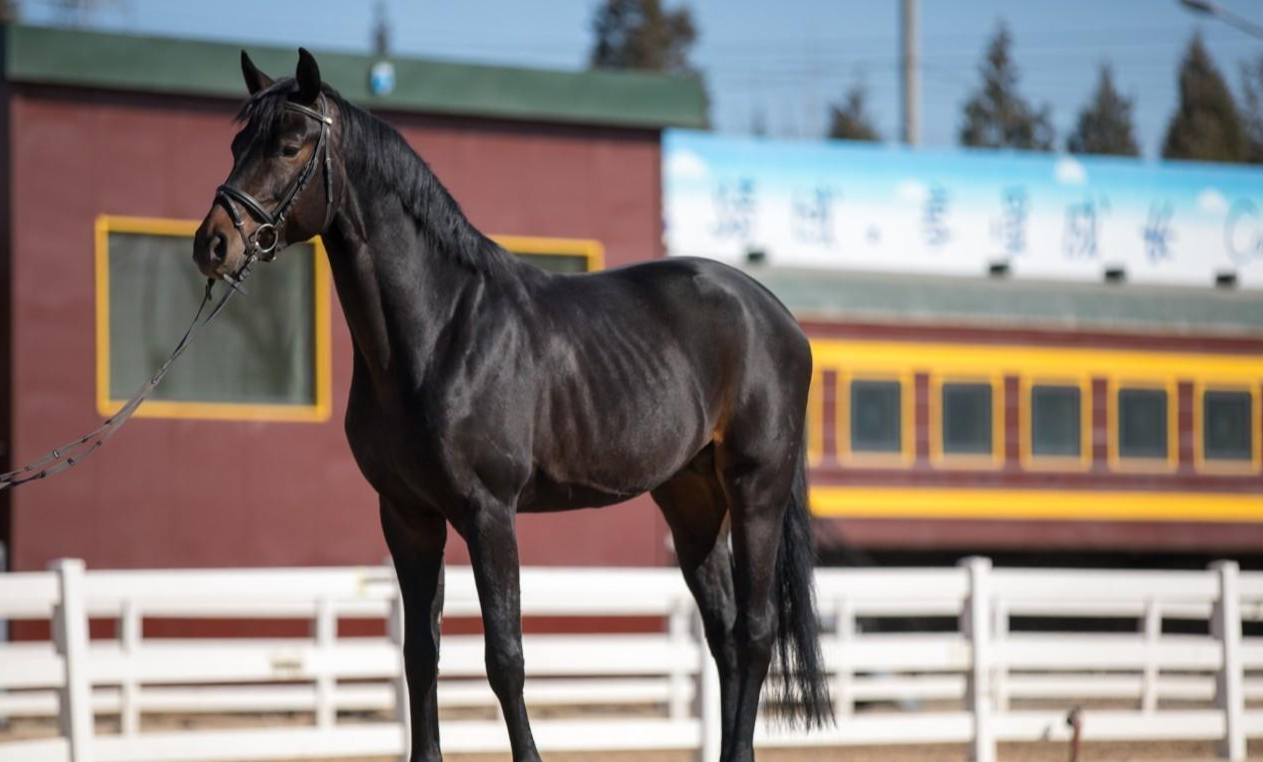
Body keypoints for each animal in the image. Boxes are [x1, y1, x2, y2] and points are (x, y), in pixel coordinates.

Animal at [192, 49, 830, 762]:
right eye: (236, 144)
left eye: (289, 144)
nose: (212, 245)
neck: (439, 329)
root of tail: (776, 315)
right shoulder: (408, 516)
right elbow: (420, 654)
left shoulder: (489, 512)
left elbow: (505, 658)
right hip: (691, 500)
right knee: (724, 637)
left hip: (756, 492)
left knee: (754, 632)